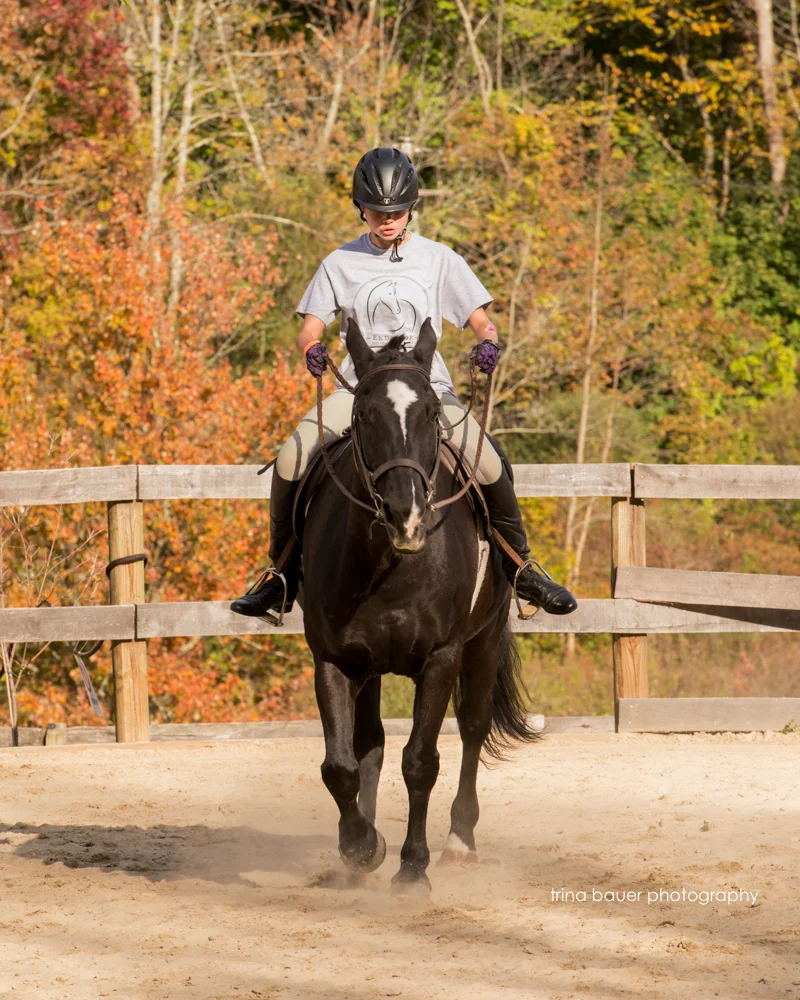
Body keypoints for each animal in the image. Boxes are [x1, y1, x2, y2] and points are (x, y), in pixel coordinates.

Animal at [298, 318, 540, 891]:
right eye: (364, 414)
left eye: (431, 412)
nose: (404, 514)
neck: (392, 564)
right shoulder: (334, 660)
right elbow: (340, 765)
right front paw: (361, 848)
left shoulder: (441, 657)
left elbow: (421, 763)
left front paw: (412, 870)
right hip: (369, 667)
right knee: (369, 744)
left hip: (484, 640)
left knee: (472, 727)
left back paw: (460, 840)